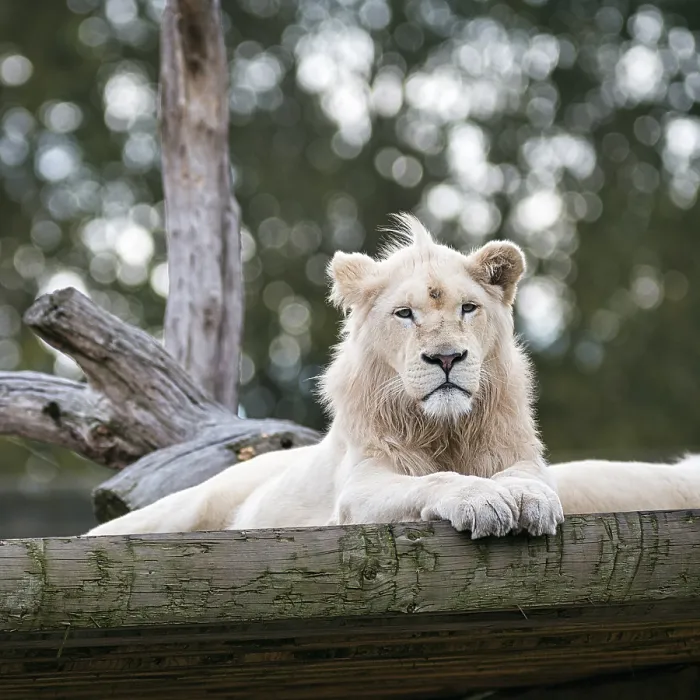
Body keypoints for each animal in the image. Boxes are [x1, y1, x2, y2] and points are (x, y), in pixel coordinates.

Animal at [86, 214, 700, 539]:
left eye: (468, 308)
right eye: (404, 314)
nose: (446, 358)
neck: (445, 429)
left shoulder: (522, 457)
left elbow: (530, 480)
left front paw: (526, 500)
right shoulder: (360, 491)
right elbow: (432, 481)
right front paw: (481, 500)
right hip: (180, 510)